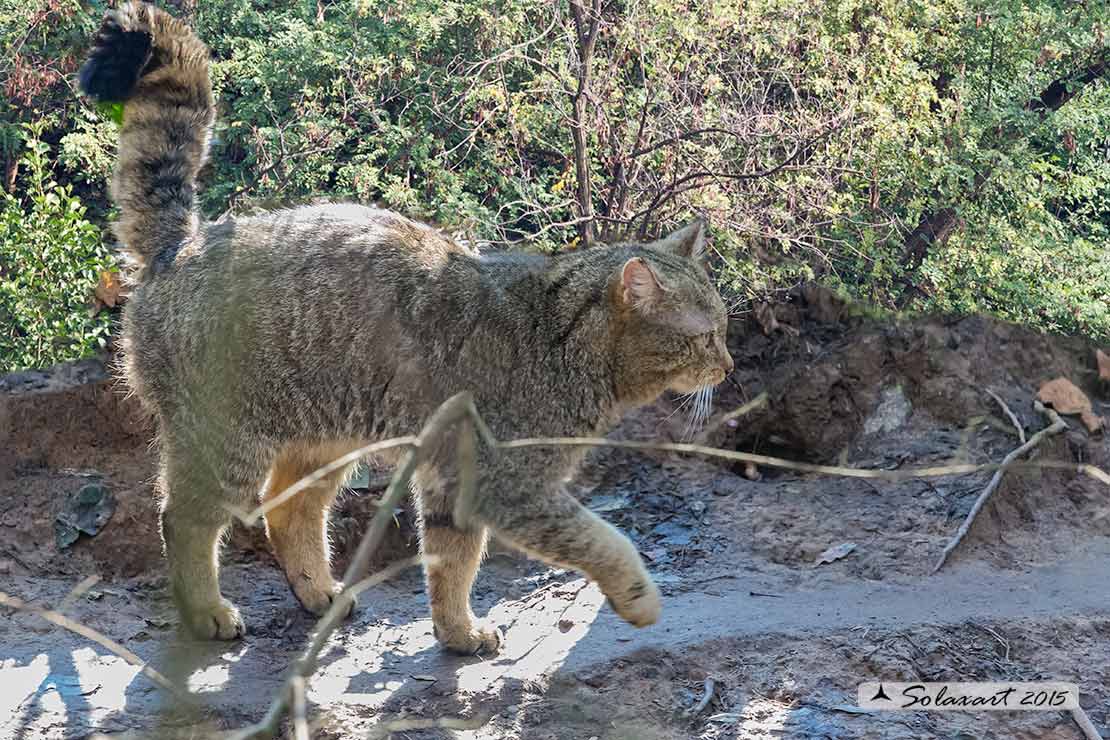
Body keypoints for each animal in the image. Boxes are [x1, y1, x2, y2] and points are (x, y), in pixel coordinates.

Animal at [80, 1, 737, 652]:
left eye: (725, 330)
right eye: (706, 336)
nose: (728, 366)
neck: (560, 339)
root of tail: (179, 244)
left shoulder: (452, 483)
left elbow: (452, 564)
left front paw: (457, 630)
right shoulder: (507, 485)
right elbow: (601, 539)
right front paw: (637, 595)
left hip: (323, 435)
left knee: (287, 510)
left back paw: (318, 591)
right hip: (228, 440)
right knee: (183, 519)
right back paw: (206, 610)